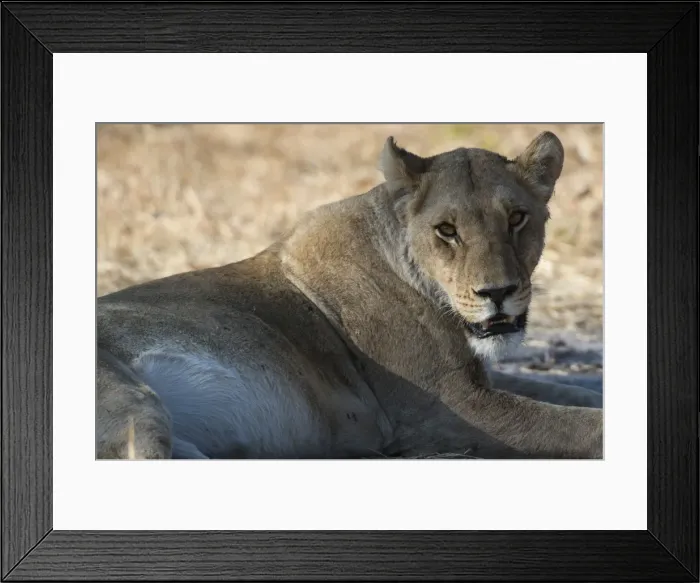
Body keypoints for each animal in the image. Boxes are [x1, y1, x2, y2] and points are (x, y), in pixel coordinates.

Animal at [96, 131, 603, 460]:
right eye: (446, 230)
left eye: (516, 218)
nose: (498, 292)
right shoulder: (448, 408)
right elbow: (580, 425)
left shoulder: (477, 380)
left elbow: (572, 391)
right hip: (132, 406)